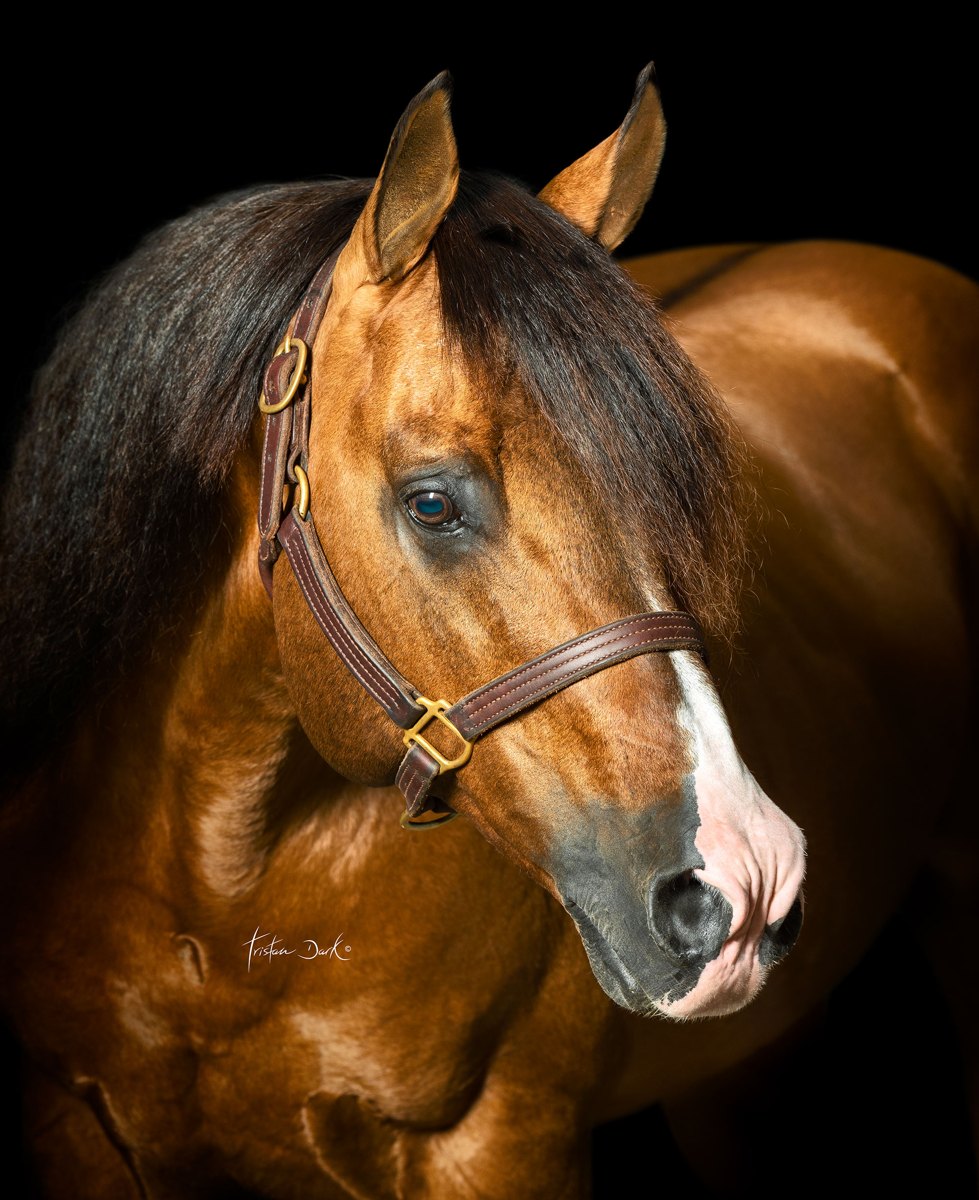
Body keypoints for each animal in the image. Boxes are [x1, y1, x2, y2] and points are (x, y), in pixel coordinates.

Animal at [1, 66, 975, 1197]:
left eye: (674, 491)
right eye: (432, 503)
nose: (744, 879)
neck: (217, 893)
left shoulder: (498, 1144)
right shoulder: (71, 1128)